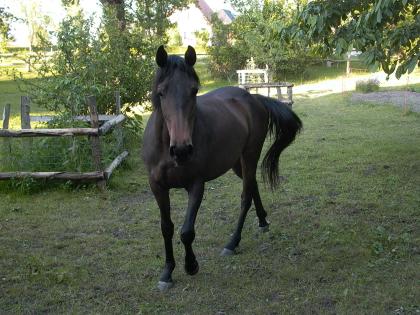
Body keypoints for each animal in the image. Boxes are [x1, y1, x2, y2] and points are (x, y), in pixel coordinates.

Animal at [144, 45, 302, 292]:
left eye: (194, 91)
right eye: (161, 93)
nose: (181, 150)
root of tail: (253, 98)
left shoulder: (196, 185)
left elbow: (186, 231)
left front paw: (191, 265)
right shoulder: (157, 187)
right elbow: (166, 228)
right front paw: (167, 273)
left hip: (250, 155)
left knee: (246, 196)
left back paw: (233, 242)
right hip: (237, 163)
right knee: (252, 185)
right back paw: (262, 221)